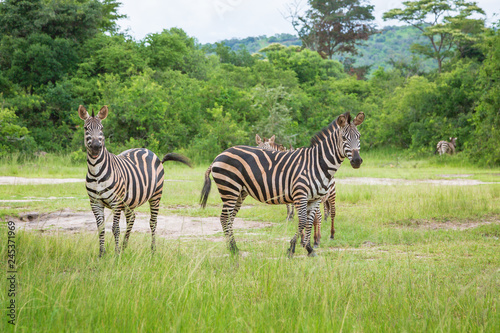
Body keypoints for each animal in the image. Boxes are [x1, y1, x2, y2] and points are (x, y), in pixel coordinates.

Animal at [78, 105, 191, 255]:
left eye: (101, 128)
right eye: (86, 128)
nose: (96, 147)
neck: (96, 171)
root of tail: (148, 151)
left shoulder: (116, 202)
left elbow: (115, 228)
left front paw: (116, 254)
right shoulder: (95, 203)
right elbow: (101, 228)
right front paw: (102, 254)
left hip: (156, 195)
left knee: (153, 222)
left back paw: (152, 250)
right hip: (130, 201)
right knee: (132, 218)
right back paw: (125, 246)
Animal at [201, 111, 366, 256]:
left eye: (358, 137)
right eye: (344, 138)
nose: (357, 161)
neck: (317, 163)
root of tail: (218, 156)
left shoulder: (315, 199)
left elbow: (309, 221)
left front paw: (309, 249)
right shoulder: (301, 195)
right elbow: (302, 221)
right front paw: (292, 248)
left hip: (240, 192)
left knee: (230, 218)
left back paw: (234, 248)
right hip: (229, 189)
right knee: (224, 218)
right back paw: (233, 250)